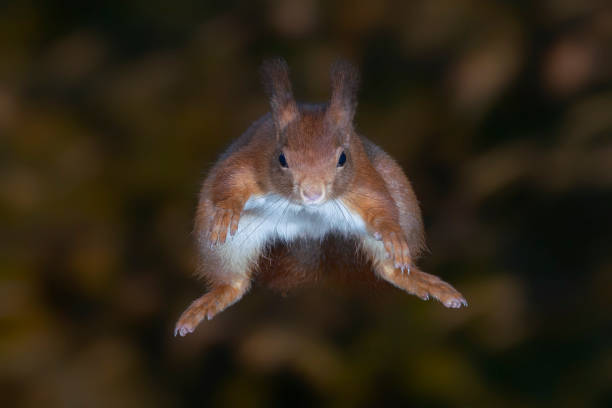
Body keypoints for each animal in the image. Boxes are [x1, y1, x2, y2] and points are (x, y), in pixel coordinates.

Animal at [175, 58, 466, 338]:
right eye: (282, 158)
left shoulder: (363, 181)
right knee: (235, 283)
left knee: (389, 269)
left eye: (343, 158)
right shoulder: (251, 162)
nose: (312, 193)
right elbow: (230, 180)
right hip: (227, 242)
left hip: (402, 198)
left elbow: (381, 204)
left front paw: (391, 231)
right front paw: (227, 209)